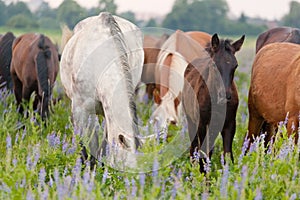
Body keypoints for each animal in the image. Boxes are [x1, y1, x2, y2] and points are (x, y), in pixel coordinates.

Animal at [182, 34, 245, 172]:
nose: (224, 96)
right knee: (193, 148)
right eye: (214, 65)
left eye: (235, 66)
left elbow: (227, 155)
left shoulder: (229, 124)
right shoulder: (202, 125)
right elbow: (203, 153)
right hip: (191, 121)